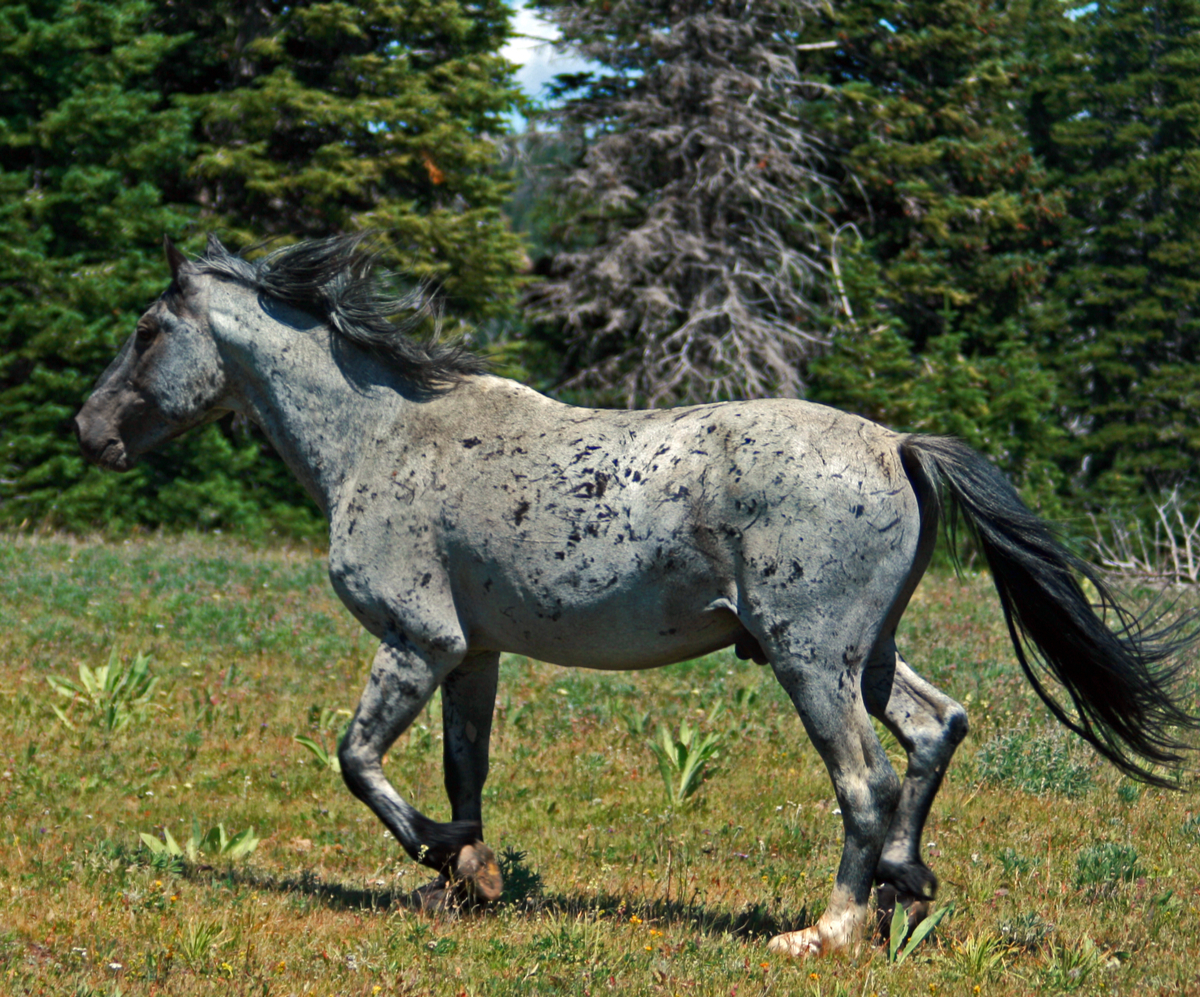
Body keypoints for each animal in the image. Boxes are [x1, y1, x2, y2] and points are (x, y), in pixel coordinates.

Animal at [74, 234, 1198, 957]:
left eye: (146, 329)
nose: (89, 432)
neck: (384, 438)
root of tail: (896, 445)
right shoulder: (473, 654)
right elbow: (463, 768)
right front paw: (468, 877)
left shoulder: (416, 642)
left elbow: (358, 761)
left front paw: (443, 855)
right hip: (867, 654)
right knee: (937, 729)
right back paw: (904, 889)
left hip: (809, 658)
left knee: (867, 779)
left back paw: (830, 928)